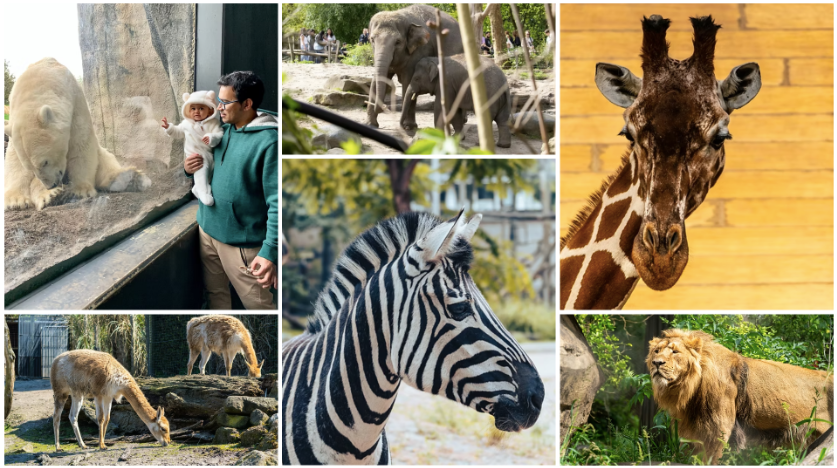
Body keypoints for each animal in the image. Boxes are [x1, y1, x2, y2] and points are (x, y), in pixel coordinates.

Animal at [4, 57, 152, 211]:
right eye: (30, 167)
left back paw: (132, 178)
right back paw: (51, 196)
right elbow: (14, 160)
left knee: (105, 158)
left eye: (45, 162)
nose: (51, 185)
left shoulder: (76, 102)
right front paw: (16, 200)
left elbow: (81, 142)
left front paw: (81, 190)